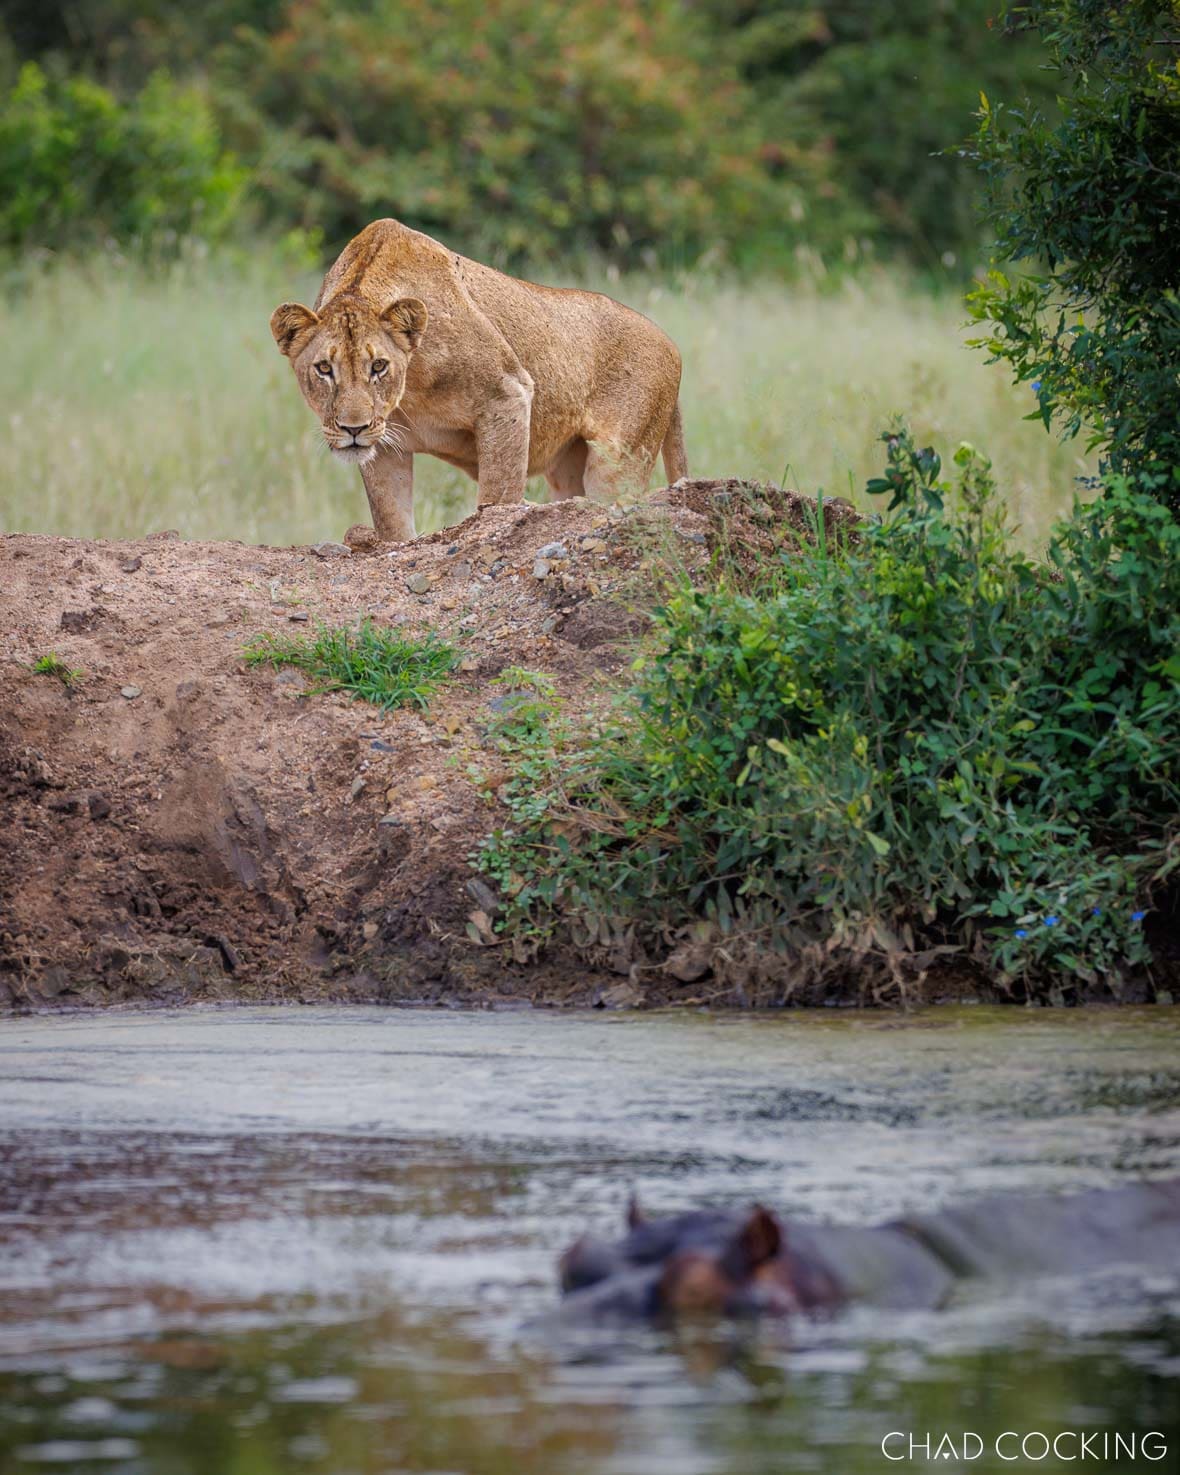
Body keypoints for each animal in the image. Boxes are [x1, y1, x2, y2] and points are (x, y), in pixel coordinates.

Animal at [270, 218, 687, 542]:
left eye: (379, 367)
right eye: (324, 369)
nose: (352, 428)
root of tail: (671, 343)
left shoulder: (507, 394)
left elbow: (497, 497)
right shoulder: (386, 445)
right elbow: (392, 523)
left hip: (618, 461)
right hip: (568, 466)